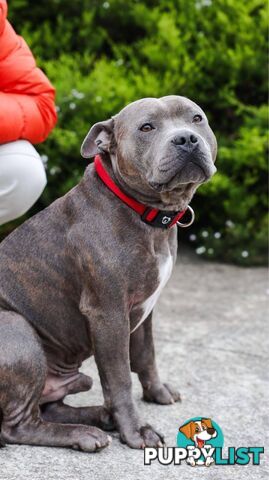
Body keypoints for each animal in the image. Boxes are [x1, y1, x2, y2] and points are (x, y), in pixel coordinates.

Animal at [0, 95, 216, 452]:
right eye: (146, 127)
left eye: (196, 118)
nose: (185, 138)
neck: (145, 214)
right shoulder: (109, 313)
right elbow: (118, 378)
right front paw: (135, 431)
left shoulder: (144, 309)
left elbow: (146, 356)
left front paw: (157, 393)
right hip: (16, 329)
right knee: (17, 427)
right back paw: (85, 433)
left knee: (51, 406)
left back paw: (99, 416)